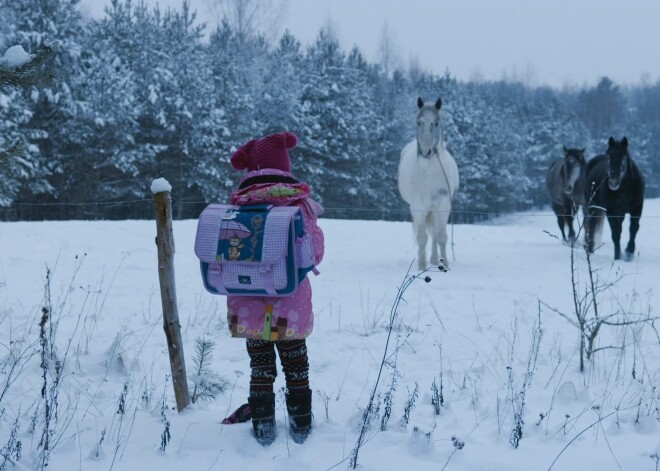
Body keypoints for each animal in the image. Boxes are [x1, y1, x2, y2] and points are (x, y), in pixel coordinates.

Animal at [398, 97, 458, 272]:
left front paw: (445, 264)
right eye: (419, 122)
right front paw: (421, 265)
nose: (425, 152)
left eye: (436, 123)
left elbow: (441, 237)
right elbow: (422, 238)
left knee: (435, 233)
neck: (428, 171)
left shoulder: (443, 204)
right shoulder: (418, 207)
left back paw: (436, 259)